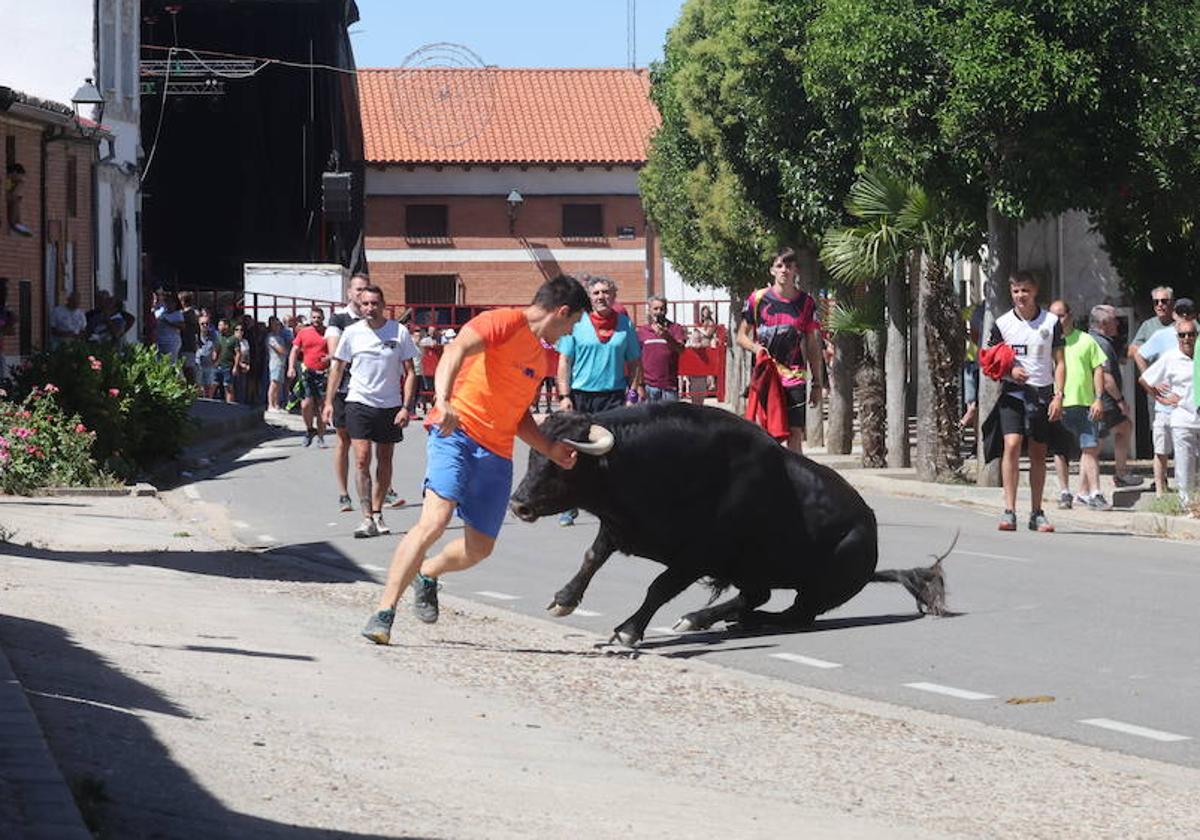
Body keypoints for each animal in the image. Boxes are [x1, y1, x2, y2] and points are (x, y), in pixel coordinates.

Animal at [506, 403, 945, 648]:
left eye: (565, 461)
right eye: (533, 455)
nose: (518, 503)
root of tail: (870, 533)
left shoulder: (698, 555)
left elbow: (658, 587)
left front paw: (629, 630)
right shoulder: (618, 527)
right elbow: (592, 557)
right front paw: (564, 599)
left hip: (819, 590)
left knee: (791, 613)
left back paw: (743, 621)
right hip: (754, 571)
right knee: (756, 596)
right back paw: (704, 618)